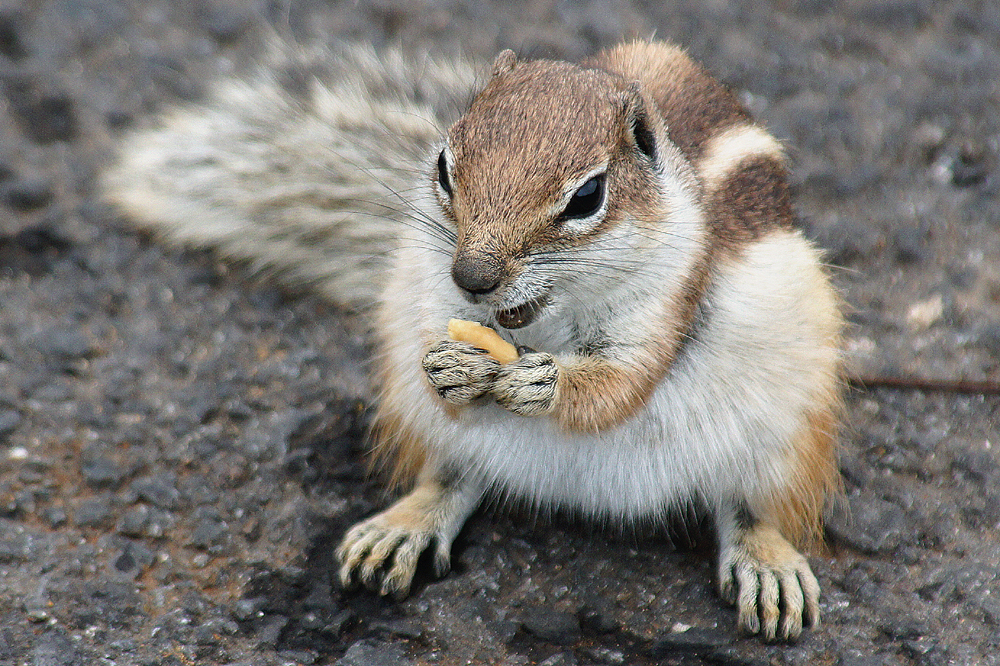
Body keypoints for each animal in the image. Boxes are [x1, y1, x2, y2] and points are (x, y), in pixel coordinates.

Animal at [105, 37, 844, 640]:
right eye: (442, 166)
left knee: (749, 506)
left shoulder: (664, 305)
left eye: (587, 197)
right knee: (456, 475)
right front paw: (449, 366)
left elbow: (619, 387)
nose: (473, 276)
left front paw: (540, 382)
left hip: (782, 428)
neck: (545, 318)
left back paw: (768, 563)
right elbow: (445, 372)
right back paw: (403, 524)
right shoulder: (431, 293)